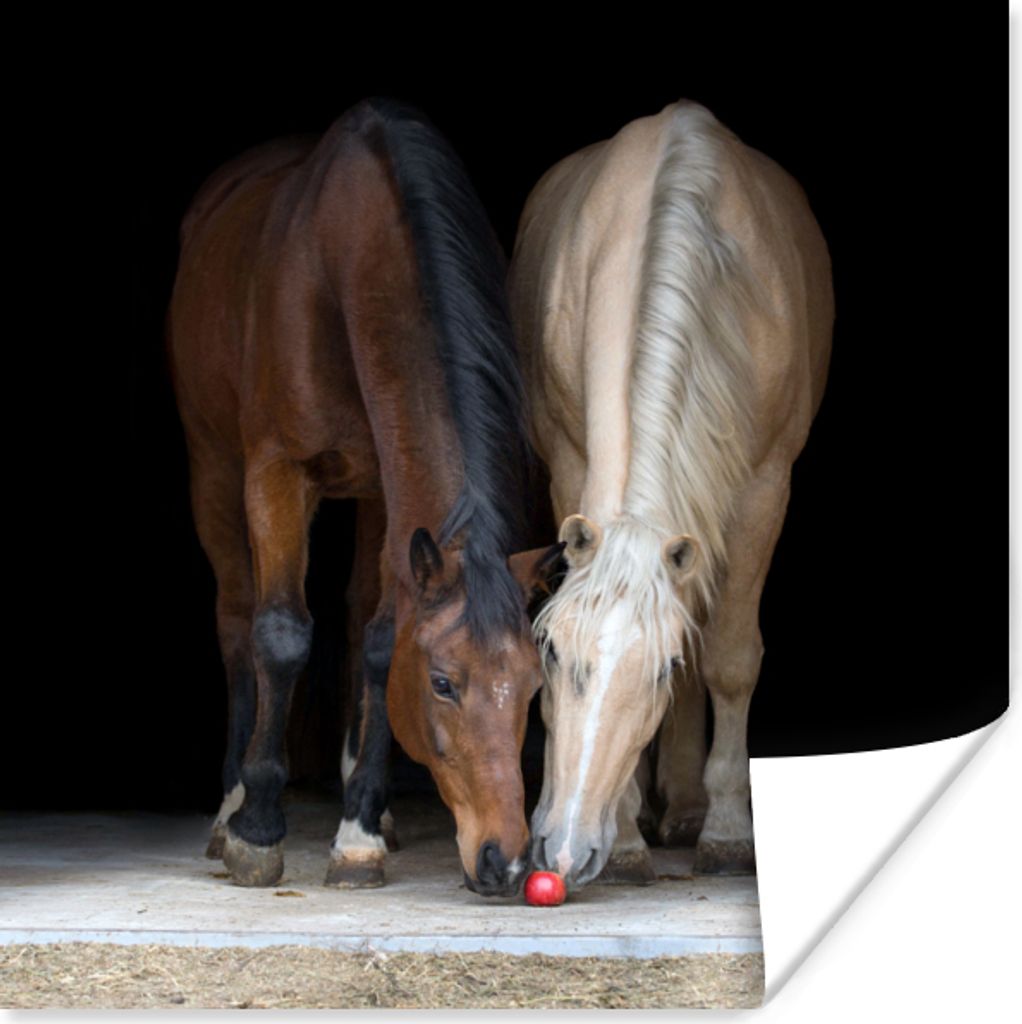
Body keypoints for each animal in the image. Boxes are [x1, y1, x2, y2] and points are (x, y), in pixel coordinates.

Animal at [167, 97, 561, 895]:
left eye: (534, 686)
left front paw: (358, 831)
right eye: (442, 683)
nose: (506, 862)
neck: (345, 269)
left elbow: (379, 643)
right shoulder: (276, 471)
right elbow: (281, 633)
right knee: (236, 617)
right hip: (214, 469)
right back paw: (230, 805)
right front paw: (258, 827)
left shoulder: (389, 490)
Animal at [507, 99, 833, 889]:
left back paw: (687, 812)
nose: (564, 850)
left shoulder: (763, 488)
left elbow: (729, 658)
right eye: (552, 652)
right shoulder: (569, 464)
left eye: (658, 668)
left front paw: (726, 831)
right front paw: (627, 837)